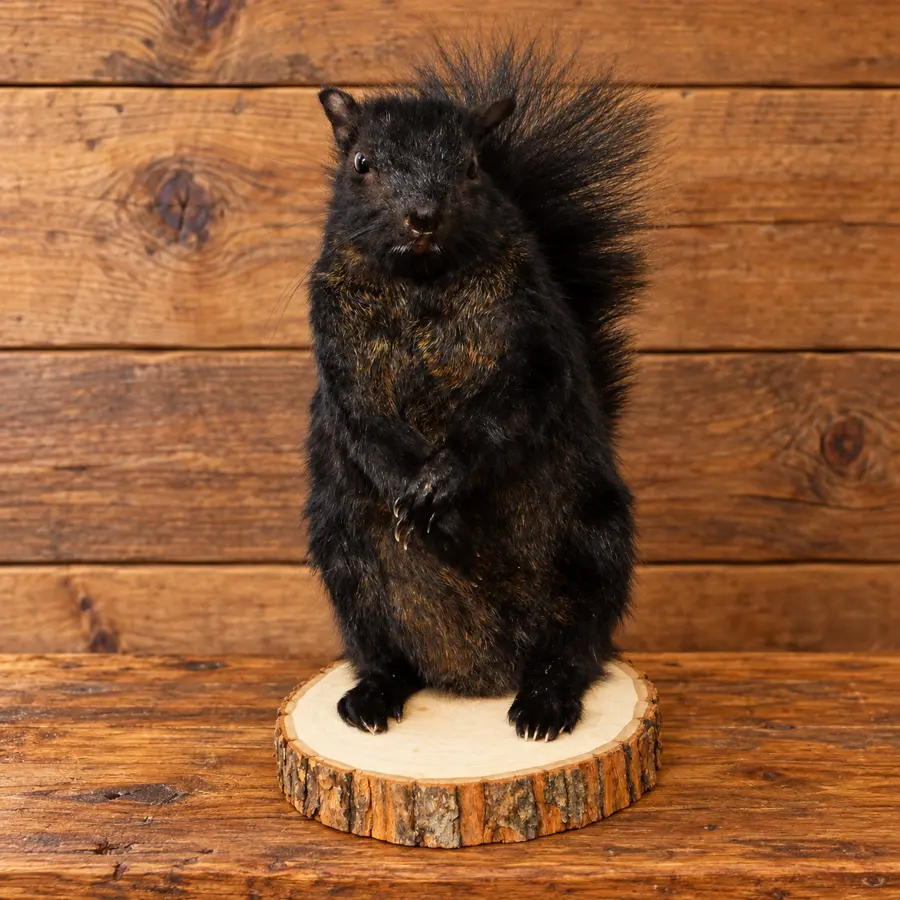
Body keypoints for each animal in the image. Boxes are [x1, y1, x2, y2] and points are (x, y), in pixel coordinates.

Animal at [305, 36, 652, 742]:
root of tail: (479, 674)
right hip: (346, 567)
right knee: (387, 656)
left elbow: (513, 411)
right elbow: (359, 417)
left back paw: (545, 704)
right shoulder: (335, 348)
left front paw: (441, 486)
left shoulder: (534, 340)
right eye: (361, 163)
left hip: (592, 550)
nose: (422, 217)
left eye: (469, 167)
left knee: (573, 653)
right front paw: (408, 489)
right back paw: (372, 696)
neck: (421, 282)